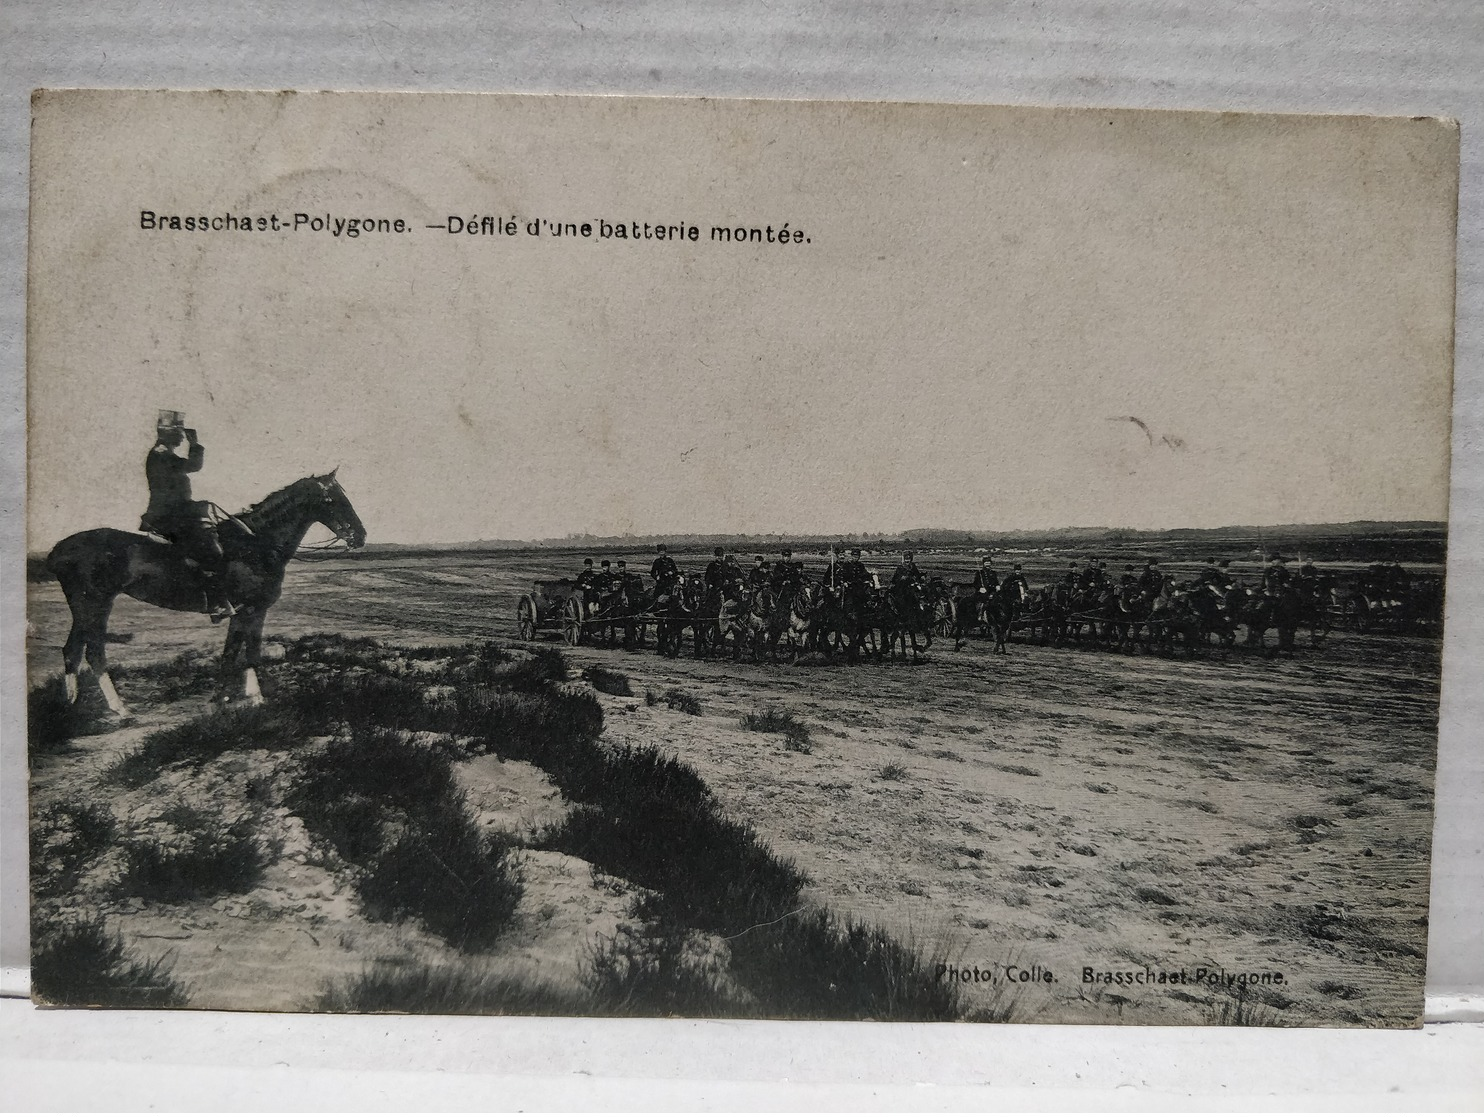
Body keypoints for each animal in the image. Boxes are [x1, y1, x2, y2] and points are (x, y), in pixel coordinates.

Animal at [42, 471, 366, 714]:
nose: (360, 536)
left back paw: (72, 705)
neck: (255, 545)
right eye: (332, 500)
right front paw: (234, 698)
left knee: (73, 650)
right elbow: (240, 652)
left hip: (85, 607)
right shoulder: (249, 609)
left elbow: (241, 651)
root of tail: (58, 550)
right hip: (94, 604)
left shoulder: (250, 611)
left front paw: (245, 696)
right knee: (93, 651)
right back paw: (119, 708)